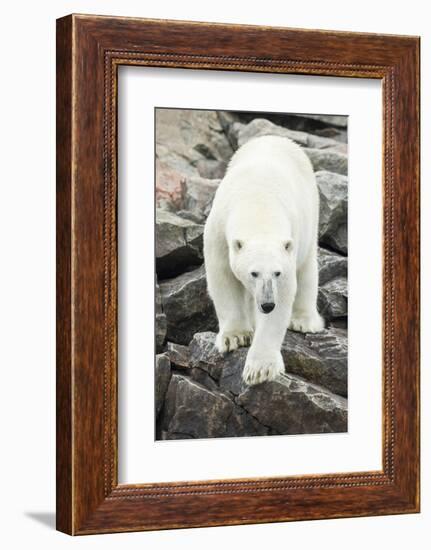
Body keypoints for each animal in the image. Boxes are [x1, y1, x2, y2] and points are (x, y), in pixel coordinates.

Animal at [204, 134, 326, 386]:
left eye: (277, 273)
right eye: (254, 273)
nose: (268, 304)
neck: (258, 204)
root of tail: (276, 136)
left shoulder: (289, 248)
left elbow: (286, 291)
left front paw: (260, 369)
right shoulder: (218, 229)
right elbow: (222, 277)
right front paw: (234, 337)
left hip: (311, 214)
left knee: (308, 269)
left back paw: (304, 320)